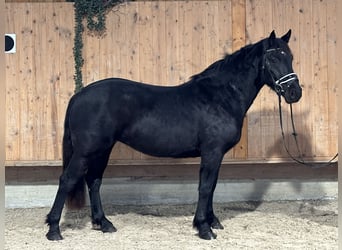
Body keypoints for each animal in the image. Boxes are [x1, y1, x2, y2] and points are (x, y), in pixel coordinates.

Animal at [45, 29, 302, 240]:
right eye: (273, 57)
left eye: (290, 57)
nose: (294, 92)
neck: (220, 96)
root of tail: (79, 95)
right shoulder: (212, 152)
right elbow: (205, 187)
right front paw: (204, 228)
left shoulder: (216, 155)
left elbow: (212, 186)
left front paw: (212, 221)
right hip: (87, 151)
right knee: (67, 180)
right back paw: (54, 230)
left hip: (102, 150)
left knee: (94, 181)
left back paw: (104, 223)